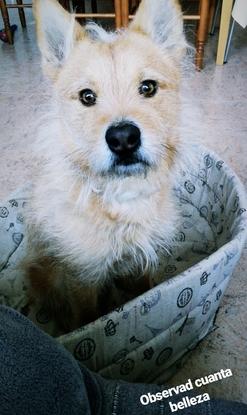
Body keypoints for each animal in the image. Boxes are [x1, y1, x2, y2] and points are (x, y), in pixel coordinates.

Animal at [26, 0, 186, 334]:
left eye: (148, 87)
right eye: (87, 96)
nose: (123, 138)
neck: (122, 195)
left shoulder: (142, 261)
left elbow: (147, 289)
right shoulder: (82, 276)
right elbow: (88, 317)